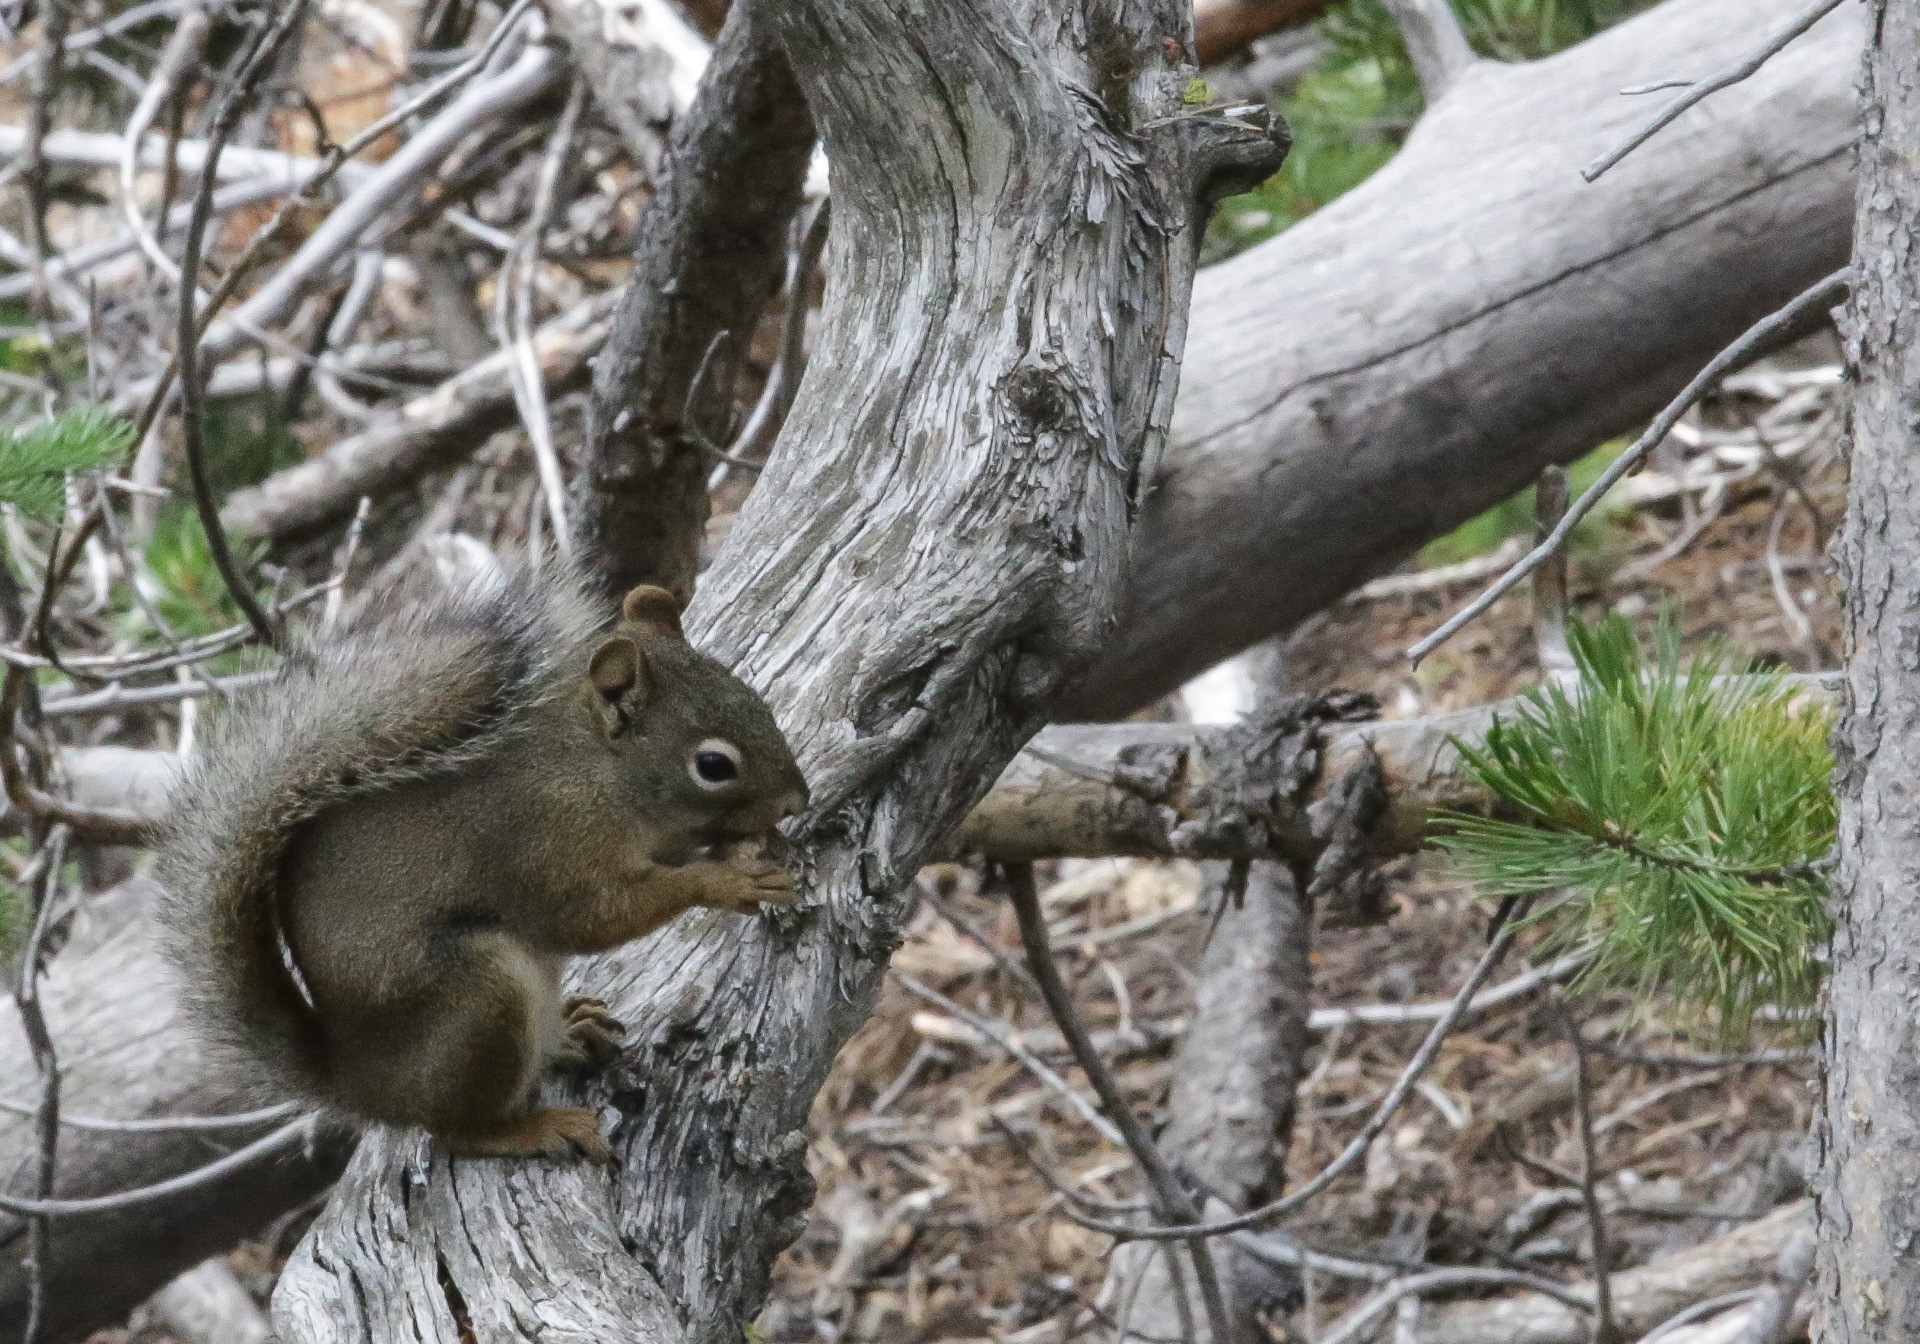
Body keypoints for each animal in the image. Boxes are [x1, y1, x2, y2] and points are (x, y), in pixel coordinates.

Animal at [151, 560, 802, 1159]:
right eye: (713, 765)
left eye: (757, 702)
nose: (797, 798)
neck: (598, 771)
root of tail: (364, 1086)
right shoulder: (547, 845)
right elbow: (595, 917)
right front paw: (727, 880)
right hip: (480, 998)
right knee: (455, 1132)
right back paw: (534, 1128)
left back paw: (570, 1032)